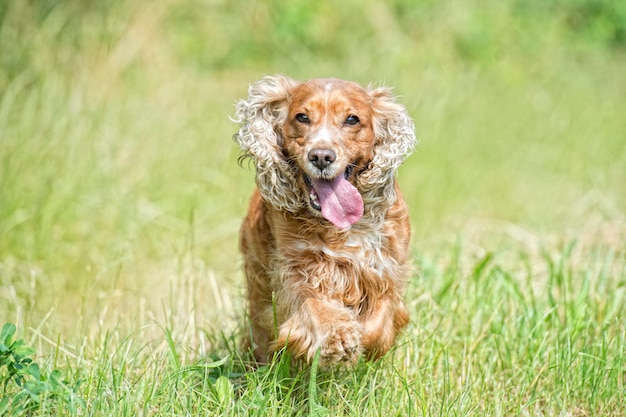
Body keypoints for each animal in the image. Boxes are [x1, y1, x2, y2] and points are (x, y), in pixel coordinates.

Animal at [230, 75, 414, 368]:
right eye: (302, 117)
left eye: (352, 119)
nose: (321, 156)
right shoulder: (294, 270)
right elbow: (311, 304)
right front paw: (338, 336)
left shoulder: (385, 268)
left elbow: (380, 320)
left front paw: (361, 338)